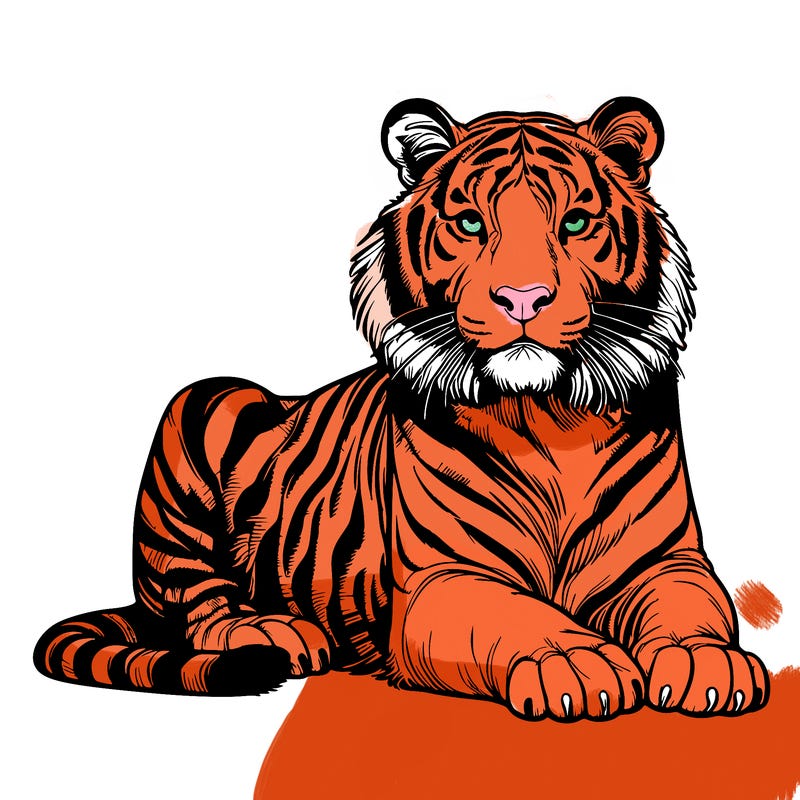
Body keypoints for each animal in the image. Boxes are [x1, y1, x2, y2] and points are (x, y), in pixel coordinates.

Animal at [34, 97, 769, 720]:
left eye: (576, 223)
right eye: (470, 223)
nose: (523, 299)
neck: (551, 420)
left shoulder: (669, 559)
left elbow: (692, 608)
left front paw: (709, 663)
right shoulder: (445, 578)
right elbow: (519, 615)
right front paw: (577, 662)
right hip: (205, 400)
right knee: (198, 604)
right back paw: (274, 631)